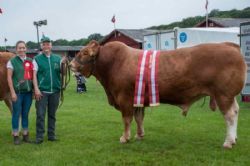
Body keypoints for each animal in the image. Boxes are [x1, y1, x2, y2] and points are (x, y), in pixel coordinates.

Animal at [69, 40, 247, 149]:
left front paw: (124, 138)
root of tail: (229, 45)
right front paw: (139, 135)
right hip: (229, 96)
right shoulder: (138, 99)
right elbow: (139, 118)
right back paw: (235, 139)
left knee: (230, 116)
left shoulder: (125, 98)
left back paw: (228, 142)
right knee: (236, 111)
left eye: (84, 53)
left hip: (223, 95)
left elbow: (127, 120)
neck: (113, 63)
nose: (70, 64)